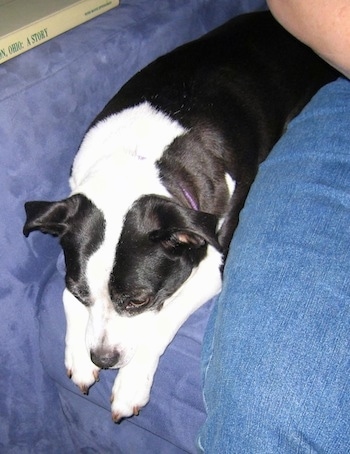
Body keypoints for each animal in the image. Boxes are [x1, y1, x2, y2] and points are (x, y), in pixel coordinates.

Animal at [22, 10, 340, 422]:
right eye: (81, 293)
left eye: (138, 301)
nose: (103, 359)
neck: (135, 157)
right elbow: (64, 296)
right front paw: (77, 353)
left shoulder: (210, 267)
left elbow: (161, 321)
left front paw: (130, 383)